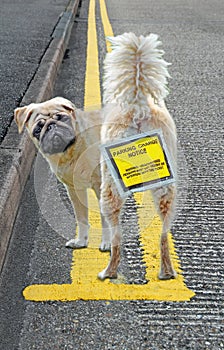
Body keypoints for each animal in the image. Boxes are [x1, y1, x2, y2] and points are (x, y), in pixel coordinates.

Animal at [14, 96, 111, 252]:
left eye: (62, 118)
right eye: (38, 129)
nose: (52, 126)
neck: (71, 151)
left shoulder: (100, 186)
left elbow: (104, 218)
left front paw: (107, 242)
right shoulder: (74, 190)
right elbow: (81, 217)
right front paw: (81, 241)